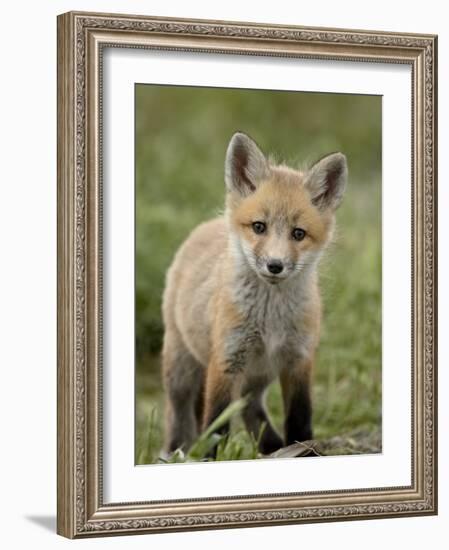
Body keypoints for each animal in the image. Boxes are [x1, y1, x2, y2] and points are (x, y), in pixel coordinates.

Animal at [161, 134, 346, 458]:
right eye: (259, 227)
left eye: (298, 234)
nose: (275, 265)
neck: (270, 319)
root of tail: (206, 226)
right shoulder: (226, 359)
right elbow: (215, 425)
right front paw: (209, 461)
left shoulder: (298, 359)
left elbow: (300, 419)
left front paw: (304, 450)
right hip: (181, 371)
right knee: (179, 416)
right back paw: (173, 454)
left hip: (258, 377)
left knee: (251, 409)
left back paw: (272, 447)